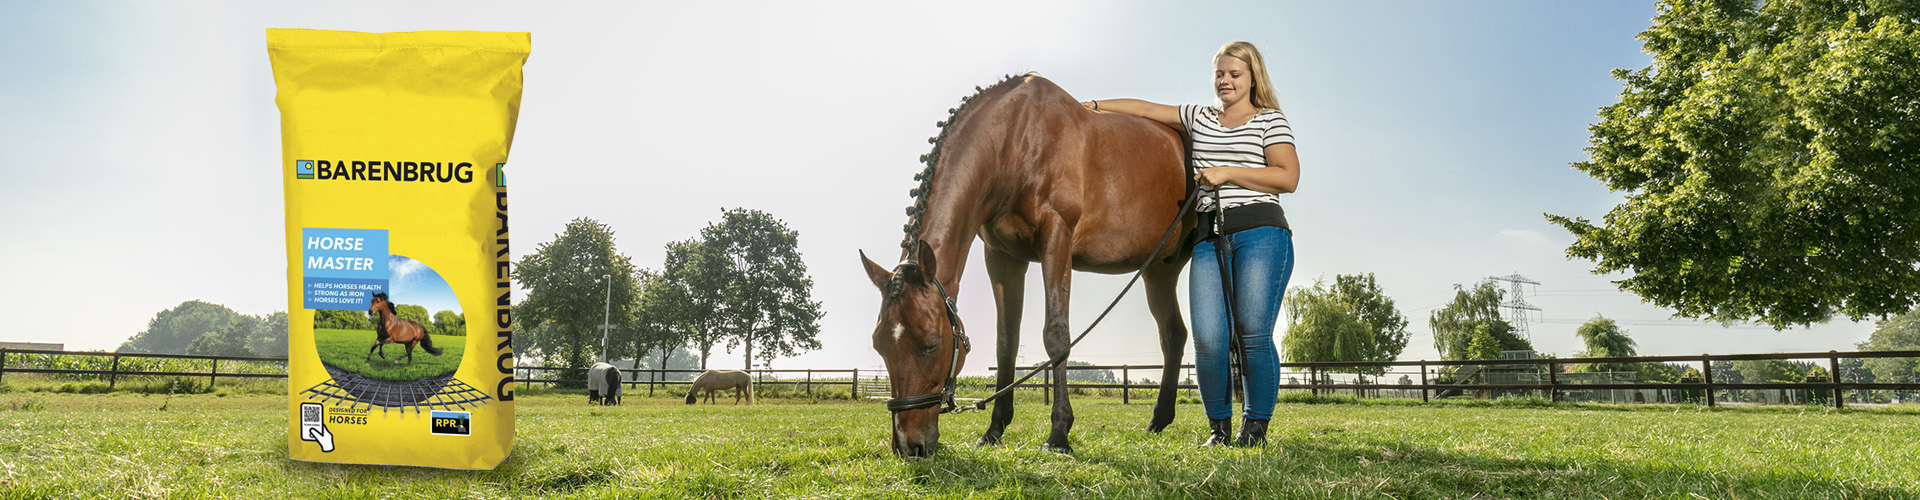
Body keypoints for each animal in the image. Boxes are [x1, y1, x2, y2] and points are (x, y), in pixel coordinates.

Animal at [859, 74, 1194, 457]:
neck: (1014, 141)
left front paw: (1059, 433)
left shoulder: (1057, 237)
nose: (907, 446)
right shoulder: (1003, 257)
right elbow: (1006, 341)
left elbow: (1057, 336)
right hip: (1160, 269)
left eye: (931, 343)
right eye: (879, 345)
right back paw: (1158, 421)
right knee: (1173, 334)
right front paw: (994, 429)